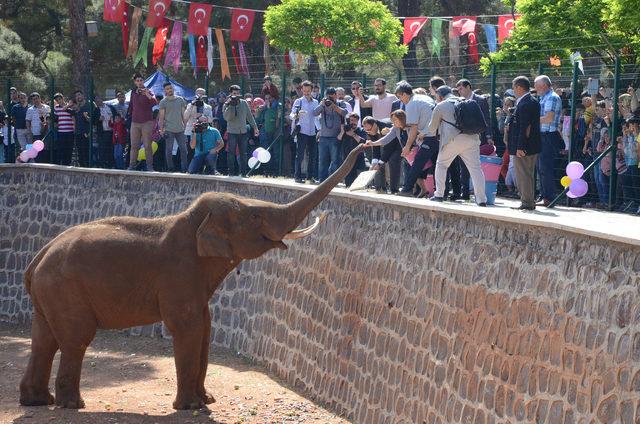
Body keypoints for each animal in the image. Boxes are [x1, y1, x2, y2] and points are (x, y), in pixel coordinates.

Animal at [20, 143, 364, 410]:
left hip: (49, 293)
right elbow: (188, 326)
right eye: (255, 216)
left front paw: (207, 401)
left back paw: (37, 401)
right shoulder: (179, 271)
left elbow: (206, 328)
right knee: (75, 338)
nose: (364, 144)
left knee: (44, 339)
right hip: (65, 289)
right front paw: (190, 407)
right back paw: (72, 404)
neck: (195, 220)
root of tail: (36, 259)